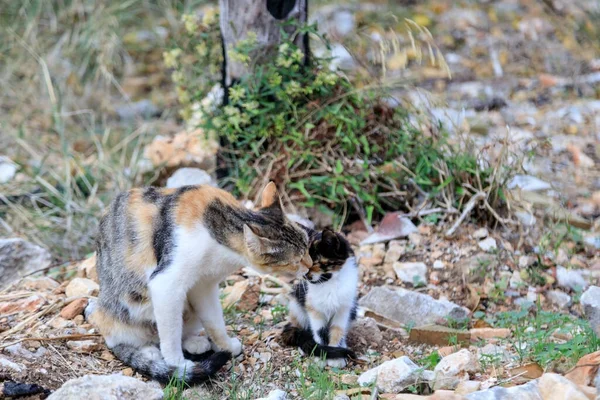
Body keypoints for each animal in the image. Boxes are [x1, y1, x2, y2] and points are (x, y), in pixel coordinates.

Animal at [90, 183, 314, 382]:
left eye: (307, 246)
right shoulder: (166, 284)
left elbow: (214, 321)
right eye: (296, 261)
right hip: (122, 311)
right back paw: (150, 353)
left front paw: (226, 347)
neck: (217, 225)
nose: (311, 265)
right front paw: (177, 365)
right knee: (127, 338)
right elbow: (170, 334)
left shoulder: (203, 286)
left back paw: (195, 343)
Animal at [280, 230, 358, 368]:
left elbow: (337, 331)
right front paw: (321, 357)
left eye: (314, 262)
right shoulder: (314, 309)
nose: (304, 275)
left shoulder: (343, 310)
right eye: (302, 262)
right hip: (296, 304)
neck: (330, 283)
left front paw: (336, 357)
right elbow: (319, 331)